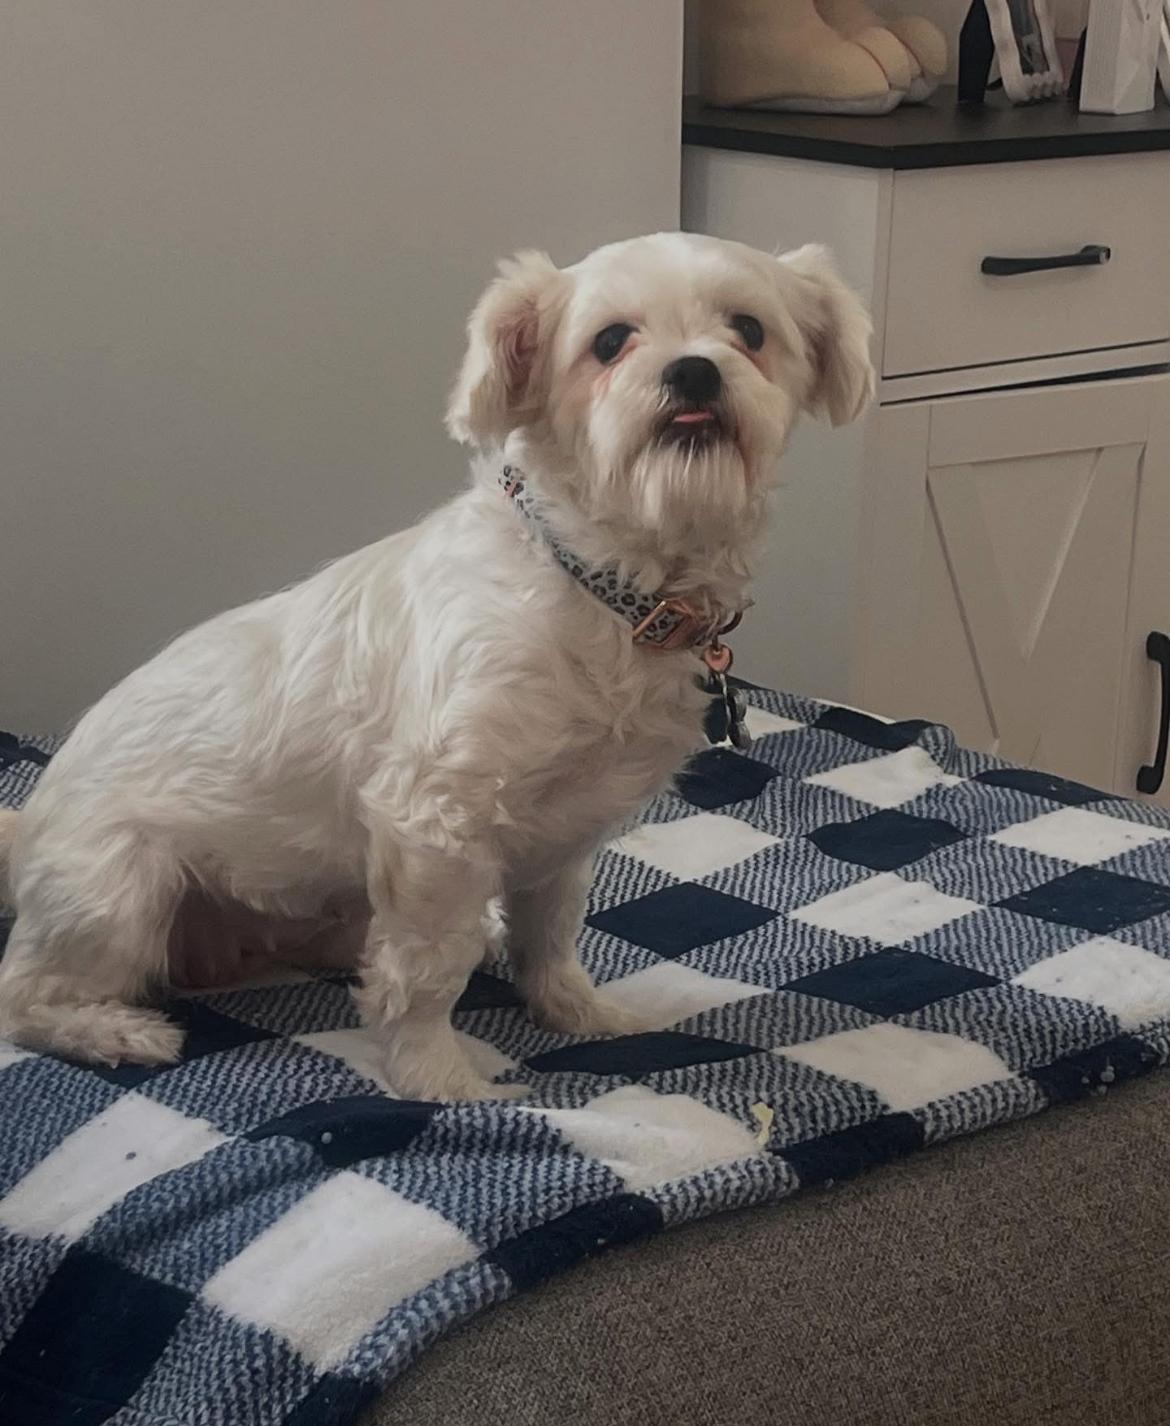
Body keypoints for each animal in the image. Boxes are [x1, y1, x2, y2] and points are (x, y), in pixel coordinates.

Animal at [0, 232, 873, 1101]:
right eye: (610, 341)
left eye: (749, 330)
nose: (694, 370)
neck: (603, 586)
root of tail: (29, 825)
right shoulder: (436, 820)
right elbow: (425, 971)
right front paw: (437, 1078)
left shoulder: (565, 835)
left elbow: (551, 935)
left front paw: (575, 1011)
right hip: (122, 893)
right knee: (23, 997)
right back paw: (116, 1031)